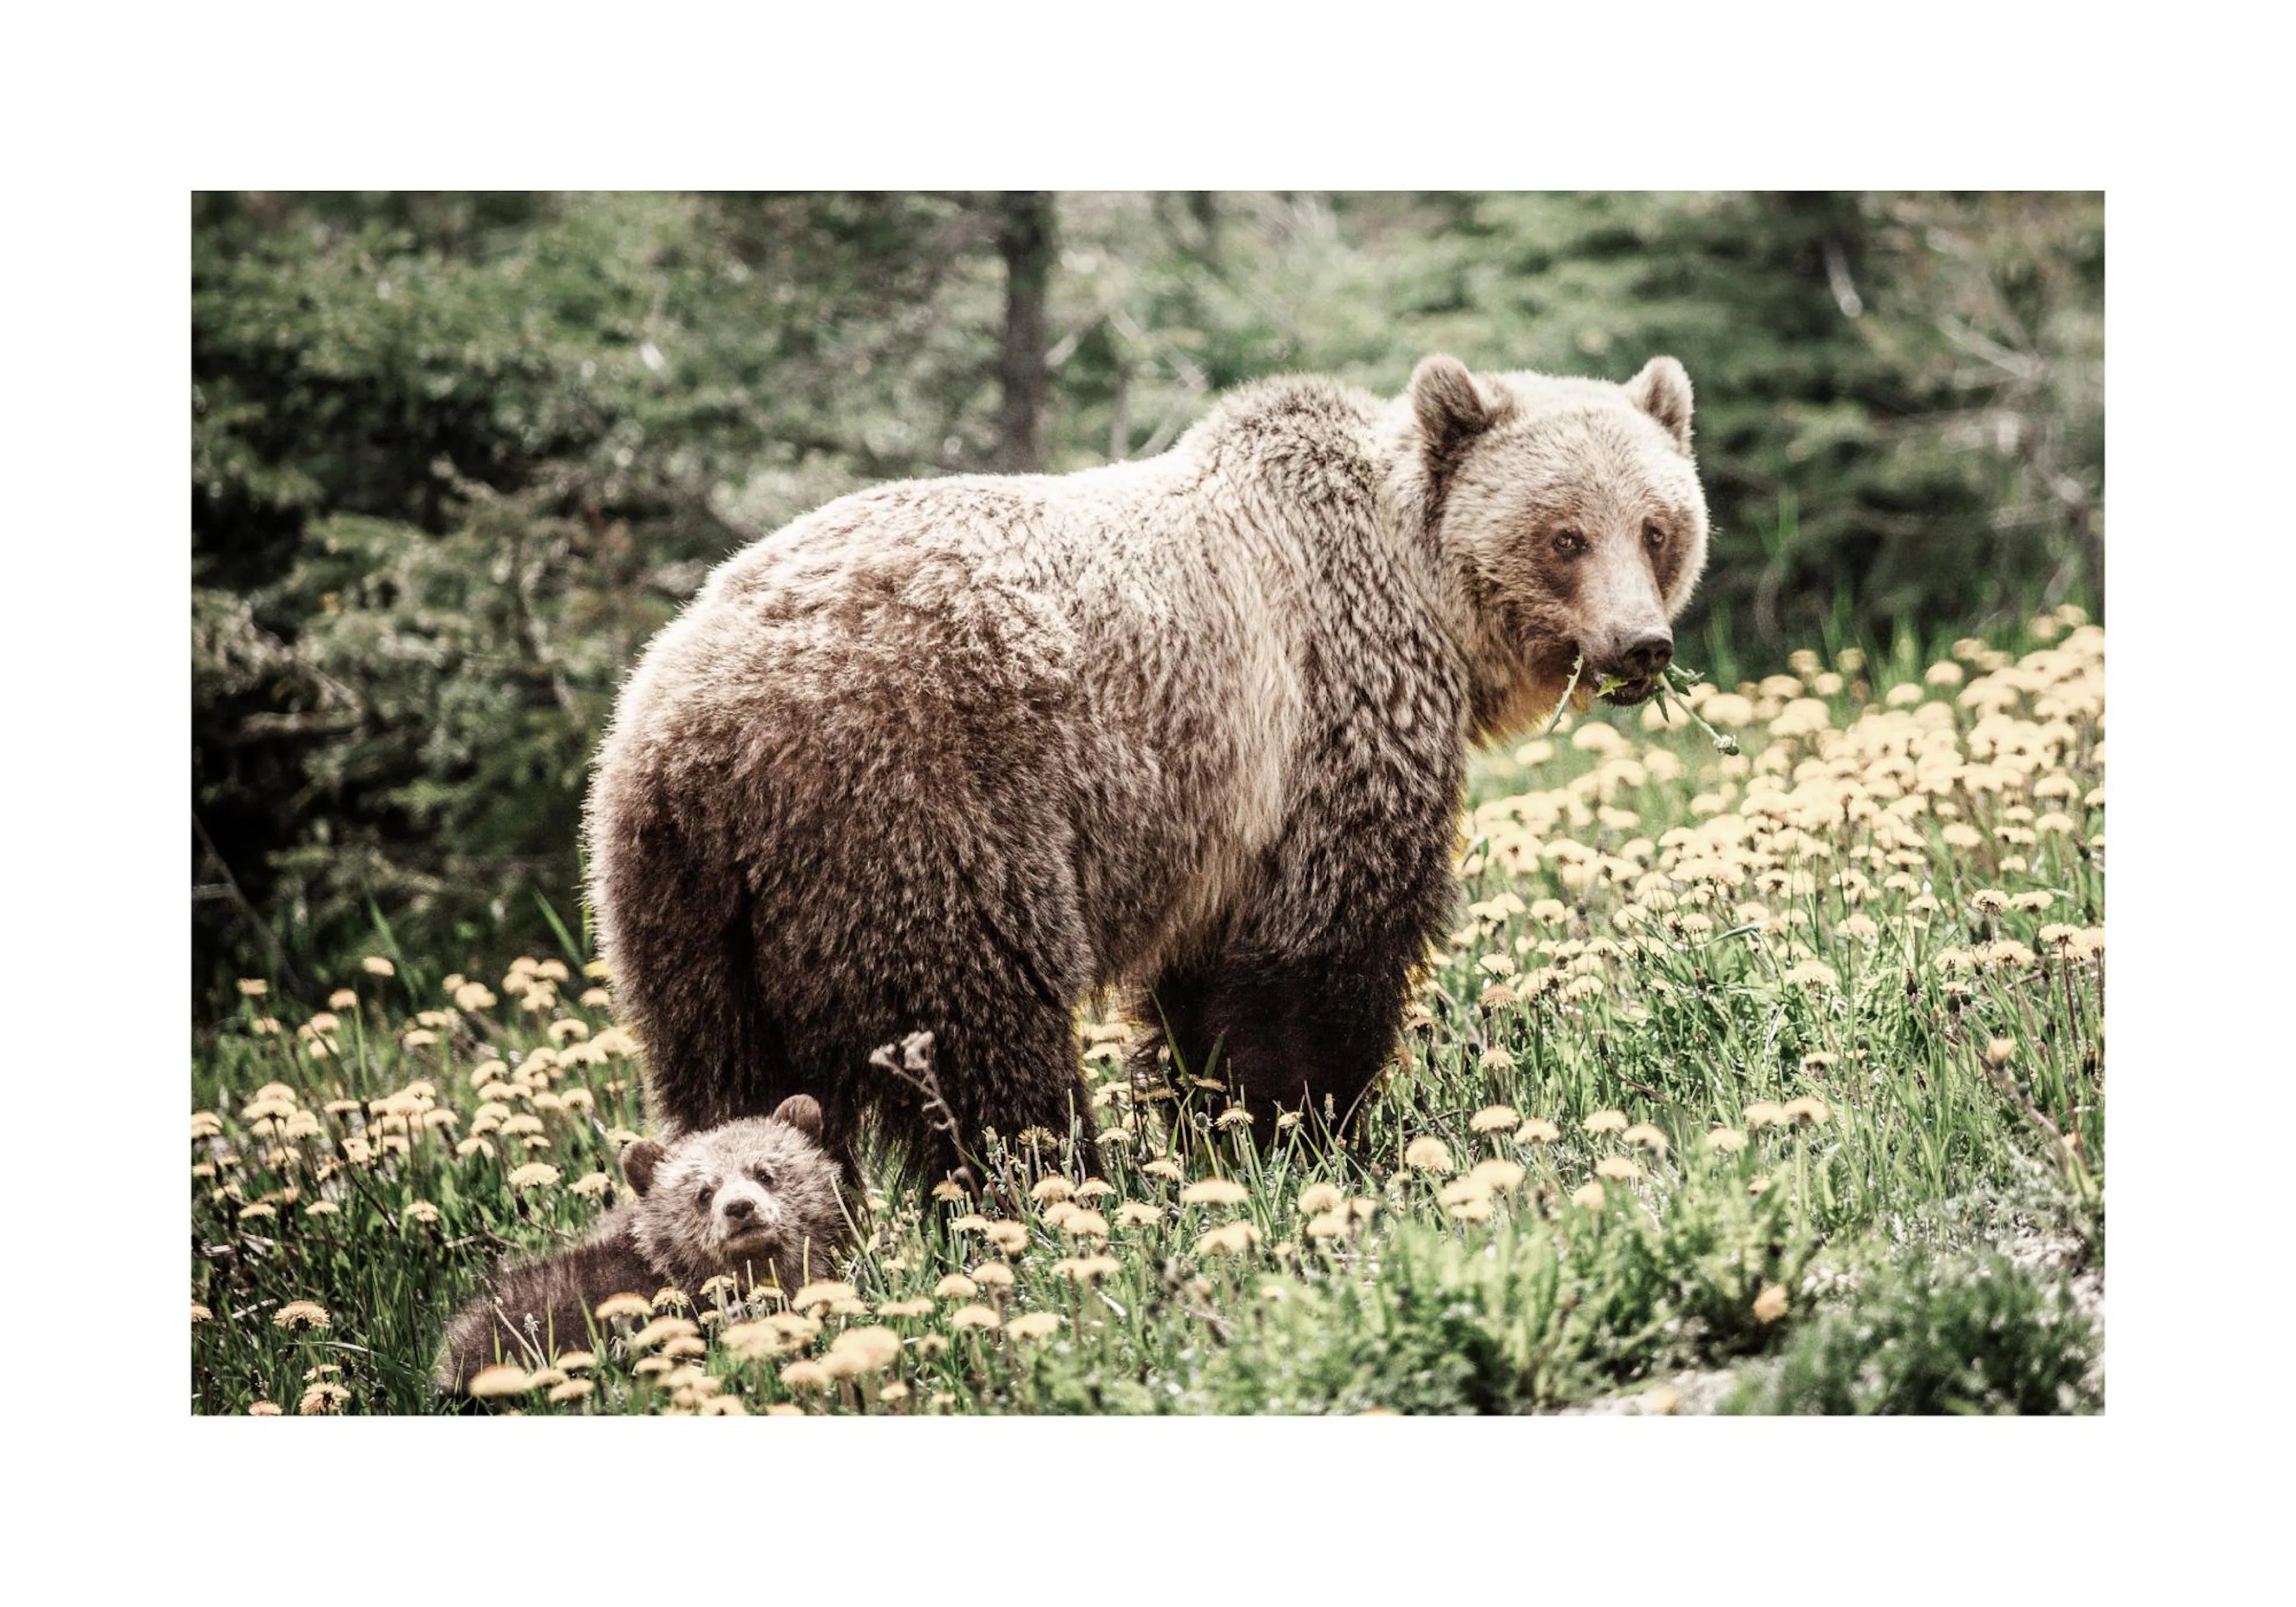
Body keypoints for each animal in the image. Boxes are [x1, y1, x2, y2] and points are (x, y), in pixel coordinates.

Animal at [585, 354, 1709, 1175]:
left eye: (1657, 526)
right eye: (1564, 535)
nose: (1640, 646)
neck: (1420, 598)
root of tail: (692, 731)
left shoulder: (1227, 819)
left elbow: (1204, 996)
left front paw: (1221, 1128)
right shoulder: (1323, 724)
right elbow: (1323, 957)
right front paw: (1318, 1135)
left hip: (684, 915)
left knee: (724, 1083)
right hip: (918, 816)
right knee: (983, 1035)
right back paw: (1056, 1186)